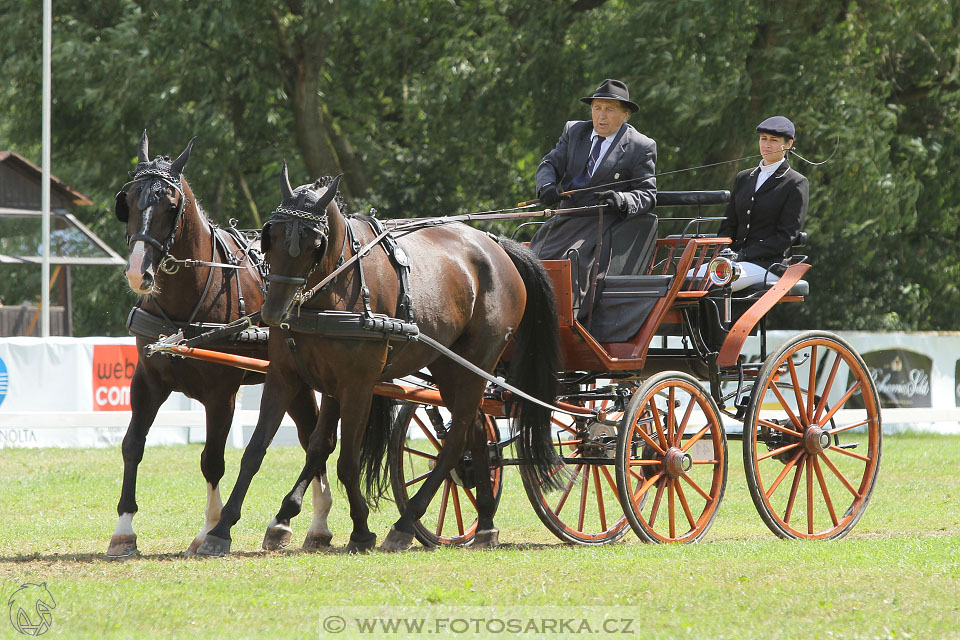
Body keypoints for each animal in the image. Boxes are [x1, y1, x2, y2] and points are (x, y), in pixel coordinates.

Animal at [107, 132, 326, 556]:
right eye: (130, 200)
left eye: (170, 205)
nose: (139, 273)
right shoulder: (147, 381)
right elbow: (132, 445)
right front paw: (123, 530)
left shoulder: (221, 393)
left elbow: (212, 460)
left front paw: (210, 529)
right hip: (294, 381)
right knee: (311, 435)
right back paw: (301, 523)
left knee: (314, 438)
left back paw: (307, 522)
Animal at [195, 165, 564, 556]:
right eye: (272, 236)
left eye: (314, 244)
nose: (273, 312)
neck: (331, 291)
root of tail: (496, 246)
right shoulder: (287, 376)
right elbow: (263, 450)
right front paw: (227, 528)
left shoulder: (358, 386)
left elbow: (347, 461)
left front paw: (360, 529)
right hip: (450, 366)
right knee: (475, 430)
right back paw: (486, 522)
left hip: (476, 362)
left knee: (456, 438)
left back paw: (406, 523)